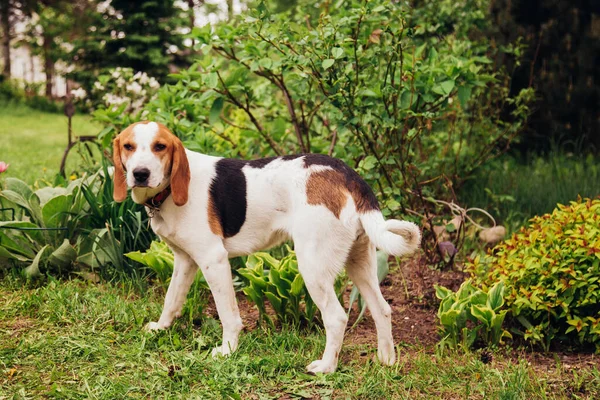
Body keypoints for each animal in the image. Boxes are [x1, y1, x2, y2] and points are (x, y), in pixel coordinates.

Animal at [113, 120, 422, 374]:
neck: (168, 192)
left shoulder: (214, 259)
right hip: (360, 261)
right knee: (382, 309)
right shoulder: (184, 260)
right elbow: (171, 300)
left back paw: (326, 367)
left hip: (313, 266)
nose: (140, 173)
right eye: (128, 146)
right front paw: (160, 328)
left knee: (336, 317)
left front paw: (228, 351)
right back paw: (386, 360)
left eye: (160, 146)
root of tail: (347, 174)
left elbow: (229, 315)